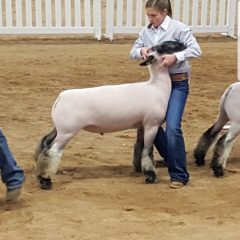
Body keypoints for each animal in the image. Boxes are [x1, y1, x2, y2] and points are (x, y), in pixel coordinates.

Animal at [34, 41, 186, 189]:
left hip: (58, 128)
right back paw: (45, 180)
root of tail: (60, 98)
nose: (183, 44)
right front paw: (150, 176)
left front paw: (138, 169)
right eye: (164, 47)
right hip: (67, 131)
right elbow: (147, 151)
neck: (157, 87)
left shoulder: (141, 125)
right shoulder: (151, 125)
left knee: (45, 142)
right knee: (52, 151)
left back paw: (38, 170)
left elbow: (139, 147)